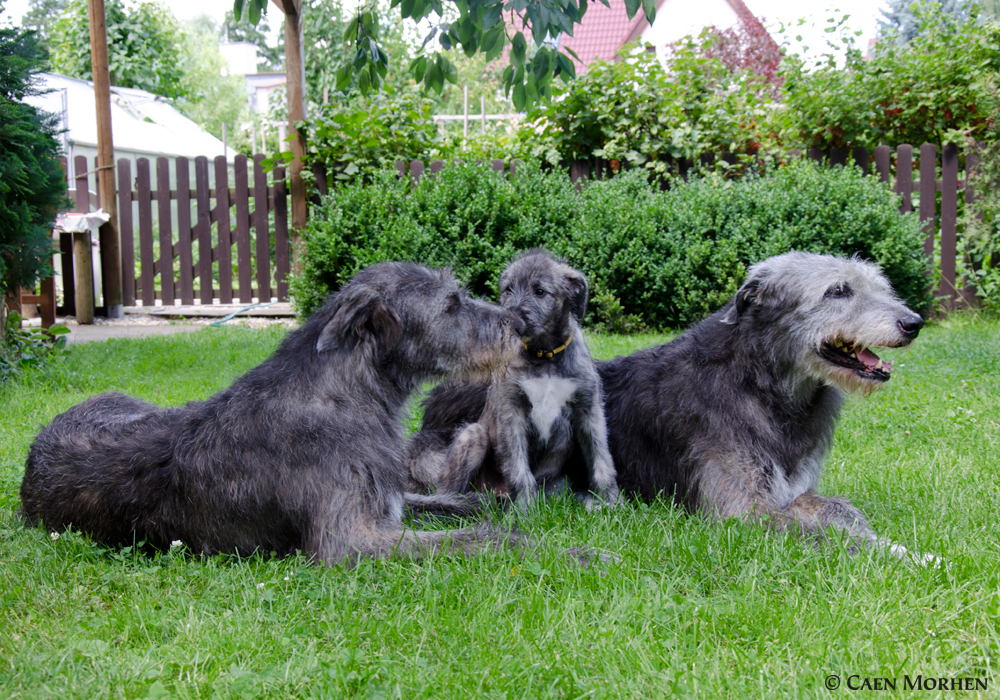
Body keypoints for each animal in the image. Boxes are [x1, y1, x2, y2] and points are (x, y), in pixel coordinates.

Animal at [19, 262, 528, 564]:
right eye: (452, 305)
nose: (519, 324)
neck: (348, 391)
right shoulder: (351, 540)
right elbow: (474, 539)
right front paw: (534, 543)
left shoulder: (386, 501)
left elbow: (442, 502)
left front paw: (486, 504)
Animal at [406, 249, 616, 512]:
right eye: (508, 289)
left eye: (540, 291)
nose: (513, 321)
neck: (544, 356)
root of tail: (497, 491)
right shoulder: (511, 411)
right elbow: (518, 467)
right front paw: (525, 510)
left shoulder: (589, 409)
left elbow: (601, 458)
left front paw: (609, 501)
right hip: (472, 436)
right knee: (449, 487)